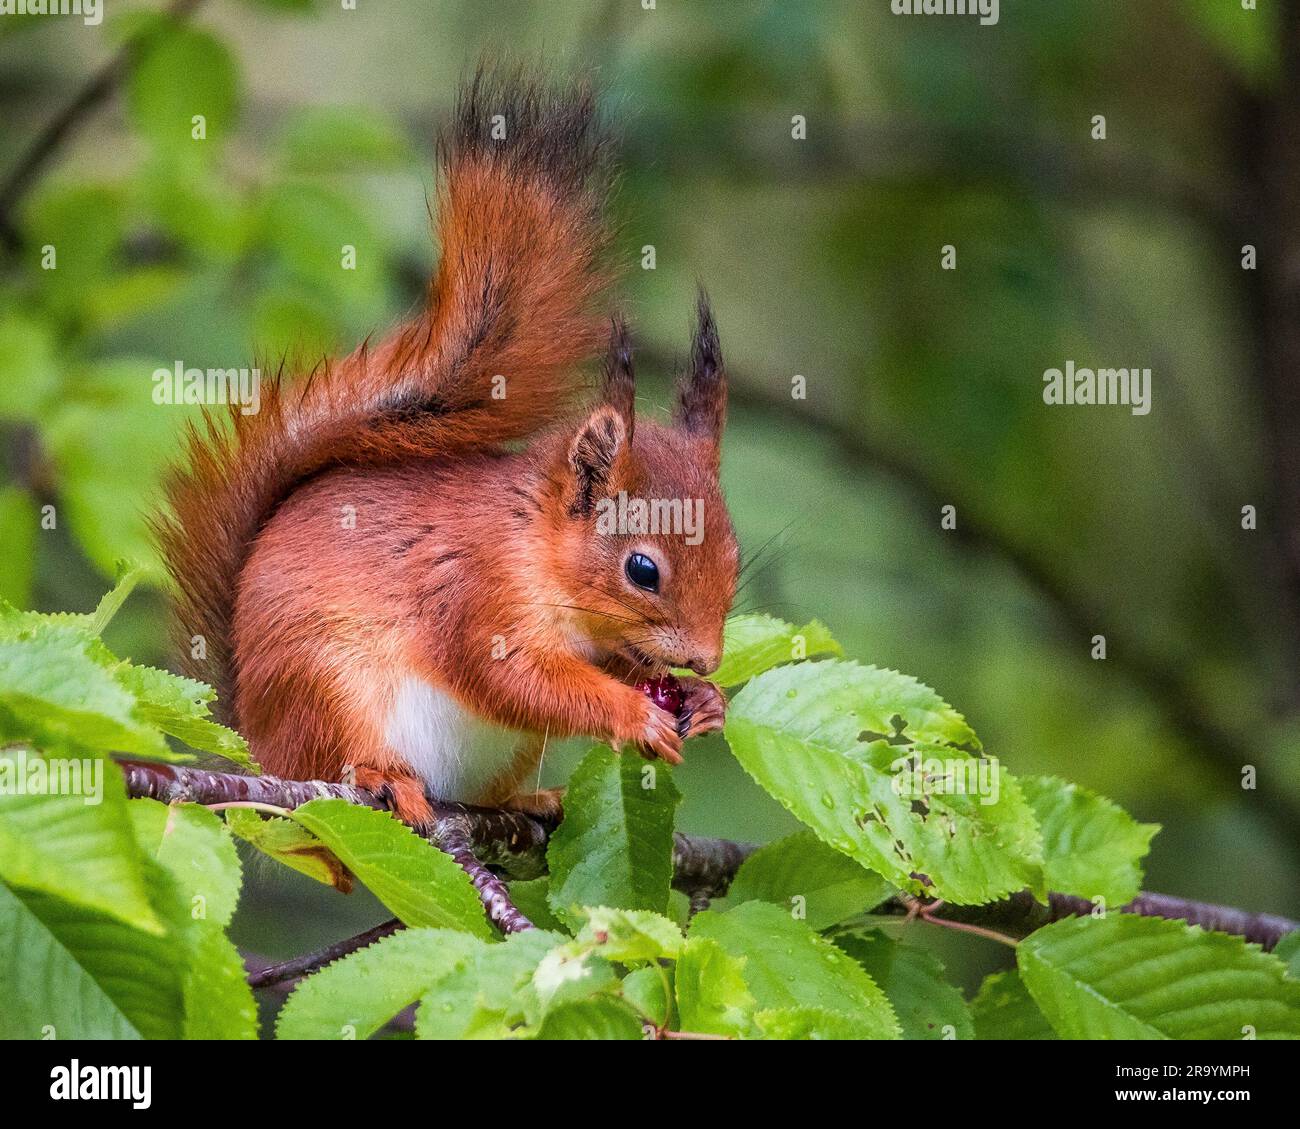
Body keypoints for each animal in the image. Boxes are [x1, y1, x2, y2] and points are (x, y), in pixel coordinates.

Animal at [153, 67, 739, 828]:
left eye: (734, 556)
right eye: (643, 569)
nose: (706, 659)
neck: (534, 545)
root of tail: (258, 746)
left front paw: (704, 701)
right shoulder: (473, 591)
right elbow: (512, 677)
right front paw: (630, 712)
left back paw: (533, 800)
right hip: (326, 689)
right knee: (343, 757)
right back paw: (384, 778)